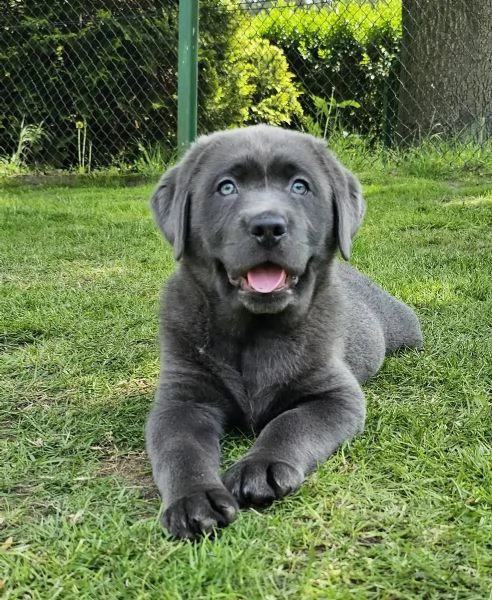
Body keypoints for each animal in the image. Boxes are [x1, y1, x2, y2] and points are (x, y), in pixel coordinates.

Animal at [146, 126, 422, 540]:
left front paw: (261, 466)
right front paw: (194, 499)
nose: (267, 226)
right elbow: (181, 448)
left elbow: (290, 424)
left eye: (299, 186)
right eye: (226, 187)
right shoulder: (181, 399)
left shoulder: (335, 395)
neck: (255, 333)